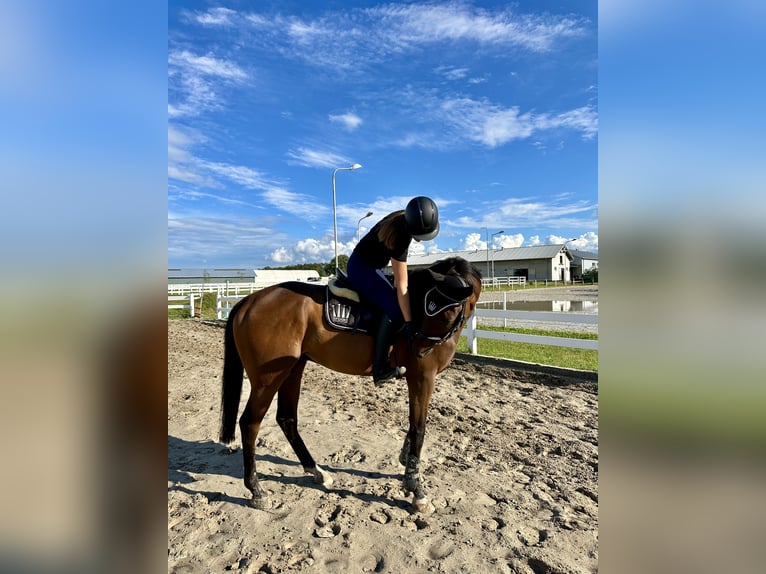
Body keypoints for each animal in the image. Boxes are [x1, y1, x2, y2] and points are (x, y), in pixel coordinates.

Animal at [218, 256, 480, 512]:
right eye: (434, 306)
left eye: (451, 309)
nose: (417, 349)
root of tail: (249, 301)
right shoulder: (422, 376)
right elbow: (419, 428)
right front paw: (416, 489)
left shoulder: (418, 377)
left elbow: (413, 424)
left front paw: (406, 460)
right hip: (267, 380)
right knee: (250, 423)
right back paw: (257, 491)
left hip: (292, 369)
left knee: (286, 418)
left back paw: (317, 472)